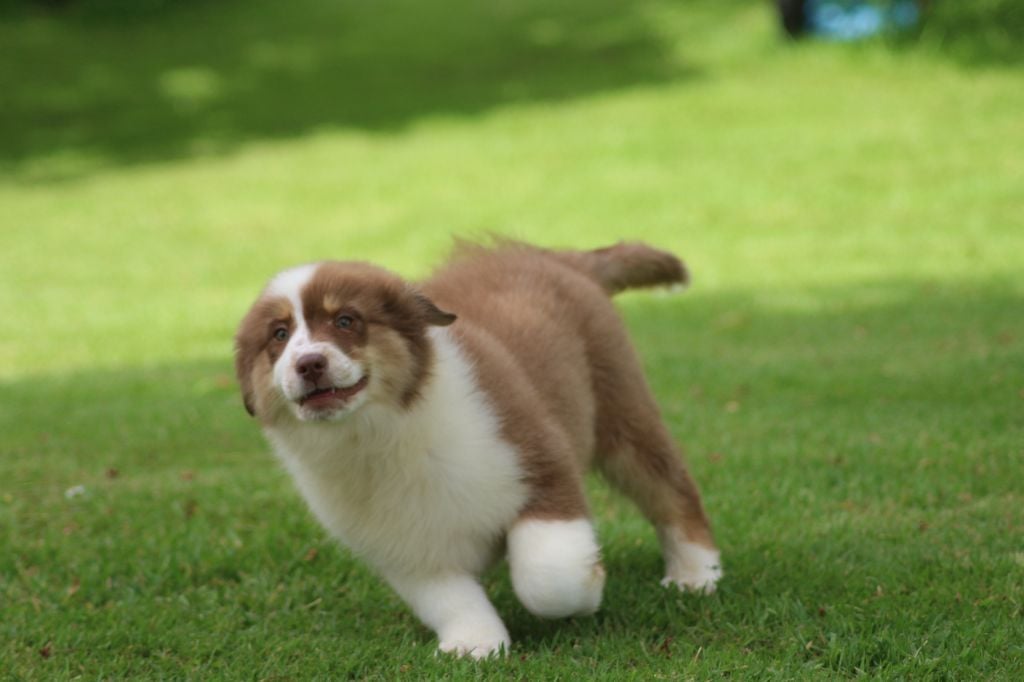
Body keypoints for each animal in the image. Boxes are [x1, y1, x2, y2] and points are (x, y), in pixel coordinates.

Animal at [234, 241, 721, 658]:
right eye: (279, 335)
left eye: (346, 321)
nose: (308, 364)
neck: (383, 434)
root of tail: (561, 258)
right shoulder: (402, 544)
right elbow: (448, 597)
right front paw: (475, 645)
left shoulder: (542, 465)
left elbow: (547, 576)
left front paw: (589, 591)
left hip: (620, 408)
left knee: (671, 488)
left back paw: (695, 575)